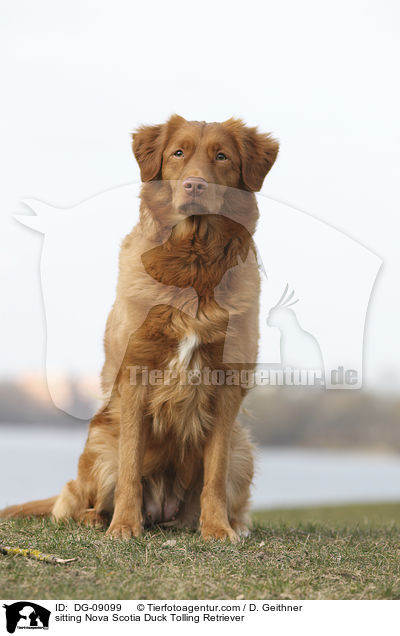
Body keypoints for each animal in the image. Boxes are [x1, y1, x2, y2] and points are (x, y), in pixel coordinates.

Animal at [1, 115, 278, 540]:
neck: (193, 263)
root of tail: (164, 512)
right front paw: (125, 526)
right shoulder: (135, 375)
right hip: (101, 442)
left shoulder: (228, 383)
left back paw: (228, 524)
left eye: (222, 156)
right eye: (178, 153)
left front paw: (217, 529)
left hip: (242, 448)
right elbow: (131, 464)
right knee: (76, 503)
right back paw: (101, 518)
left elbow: (215, 472)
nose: (195, 184)